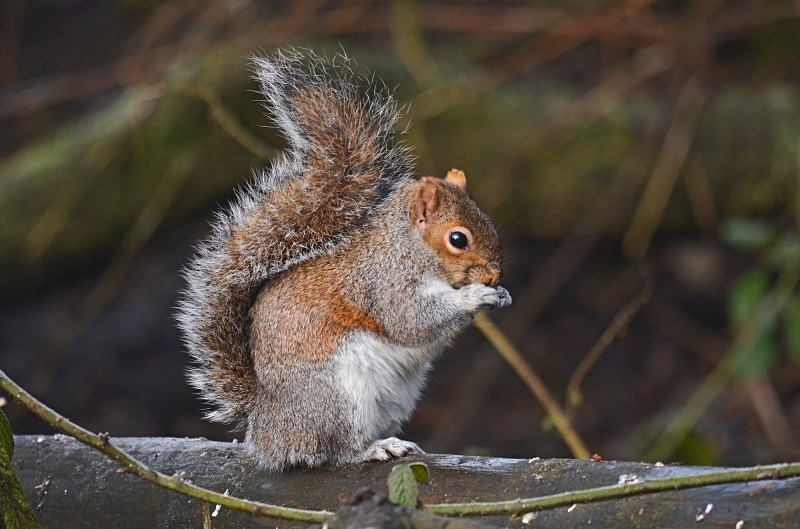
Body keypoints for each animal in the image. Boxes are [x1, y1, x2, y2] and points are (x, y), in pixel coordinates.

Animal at [176, 50, 512, 470]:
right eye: (457, 239)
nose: (495, 274)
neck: (409, 250)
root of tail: (265, 425)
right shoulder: (383, 283)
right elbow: (411, 322)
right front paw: (476, 296)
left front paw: (501, 294)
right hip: (337, 395)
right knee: (334, 450)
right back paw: (373, 449)